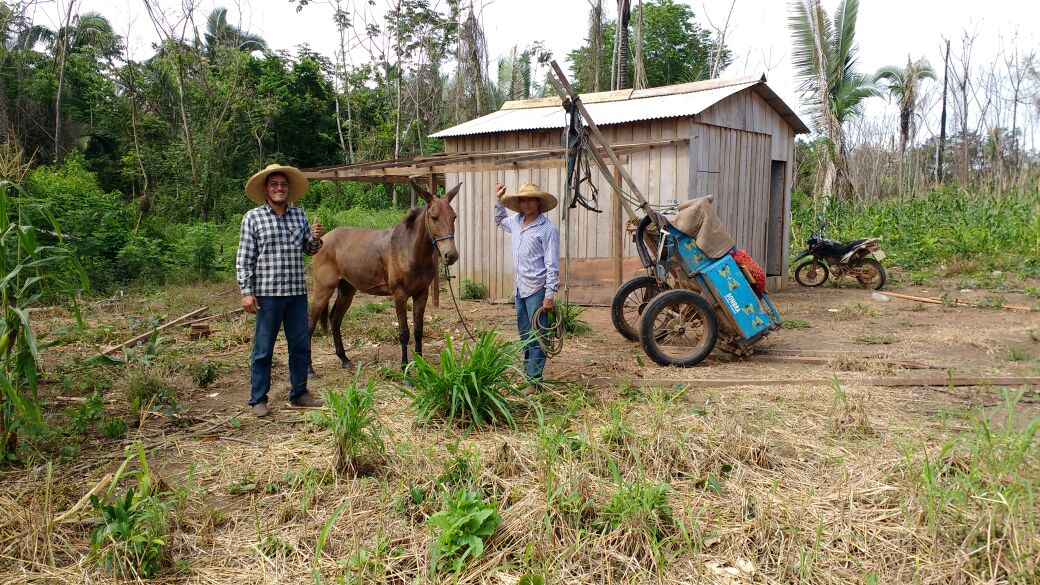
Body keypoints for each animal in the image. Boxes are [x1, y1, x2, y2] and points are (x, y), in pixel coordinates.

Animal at [303, 181, 459, 368]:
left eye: (454, 217)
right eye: (434, 217)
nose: (451, 255)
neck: (409, 249)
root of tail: (321, 240)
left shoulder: (421, 294)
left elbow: (418, 330)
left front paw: (420, 363)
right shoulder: (400, 295)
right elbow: (404, 333)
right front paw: (405, 367)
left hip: (347, 290)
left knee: (334, 318)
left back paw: (344, 359)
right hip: (323, 289)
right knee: (311, 323)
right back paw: (309, 369)